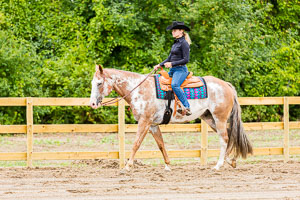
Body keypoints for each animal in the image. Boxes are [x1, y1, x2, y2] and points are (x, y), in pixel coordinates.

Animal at [89, 65, 253, 171]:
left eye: (99, 83)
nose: (92, 103)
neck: (139, 89)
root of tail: (226, 85)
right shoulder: (153, 125)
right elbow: (161, 144)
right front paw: (168, 165)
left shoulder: (144, 122)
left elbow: (136, 143)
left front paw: (128, 166)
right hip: (209, 118)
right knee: (229, 137)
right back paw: (231, 161)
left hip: (219, 119)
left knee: (224, 139)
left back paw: (218, 165)